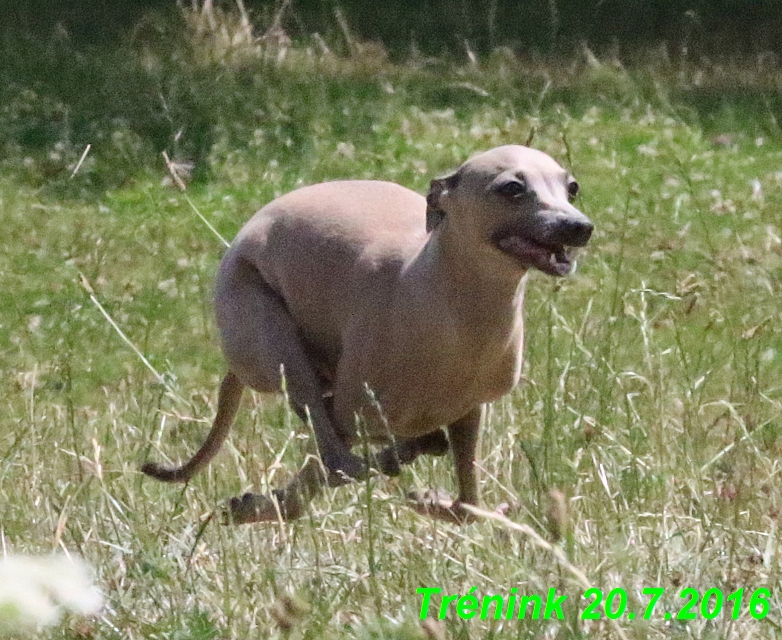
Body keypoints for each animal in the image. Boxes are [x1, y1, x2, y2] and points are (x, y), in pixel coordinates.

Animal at [141, 146, 596, 524]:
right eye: (512, 188)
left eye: (572, 187)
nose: (579, 227)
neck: (455, 312)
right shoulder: (353, 411)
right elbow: (333, 465)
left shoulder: (468, 411)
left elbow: (467, 507)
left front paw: (439, 501)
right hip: (267, 328)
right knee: (338, 455)